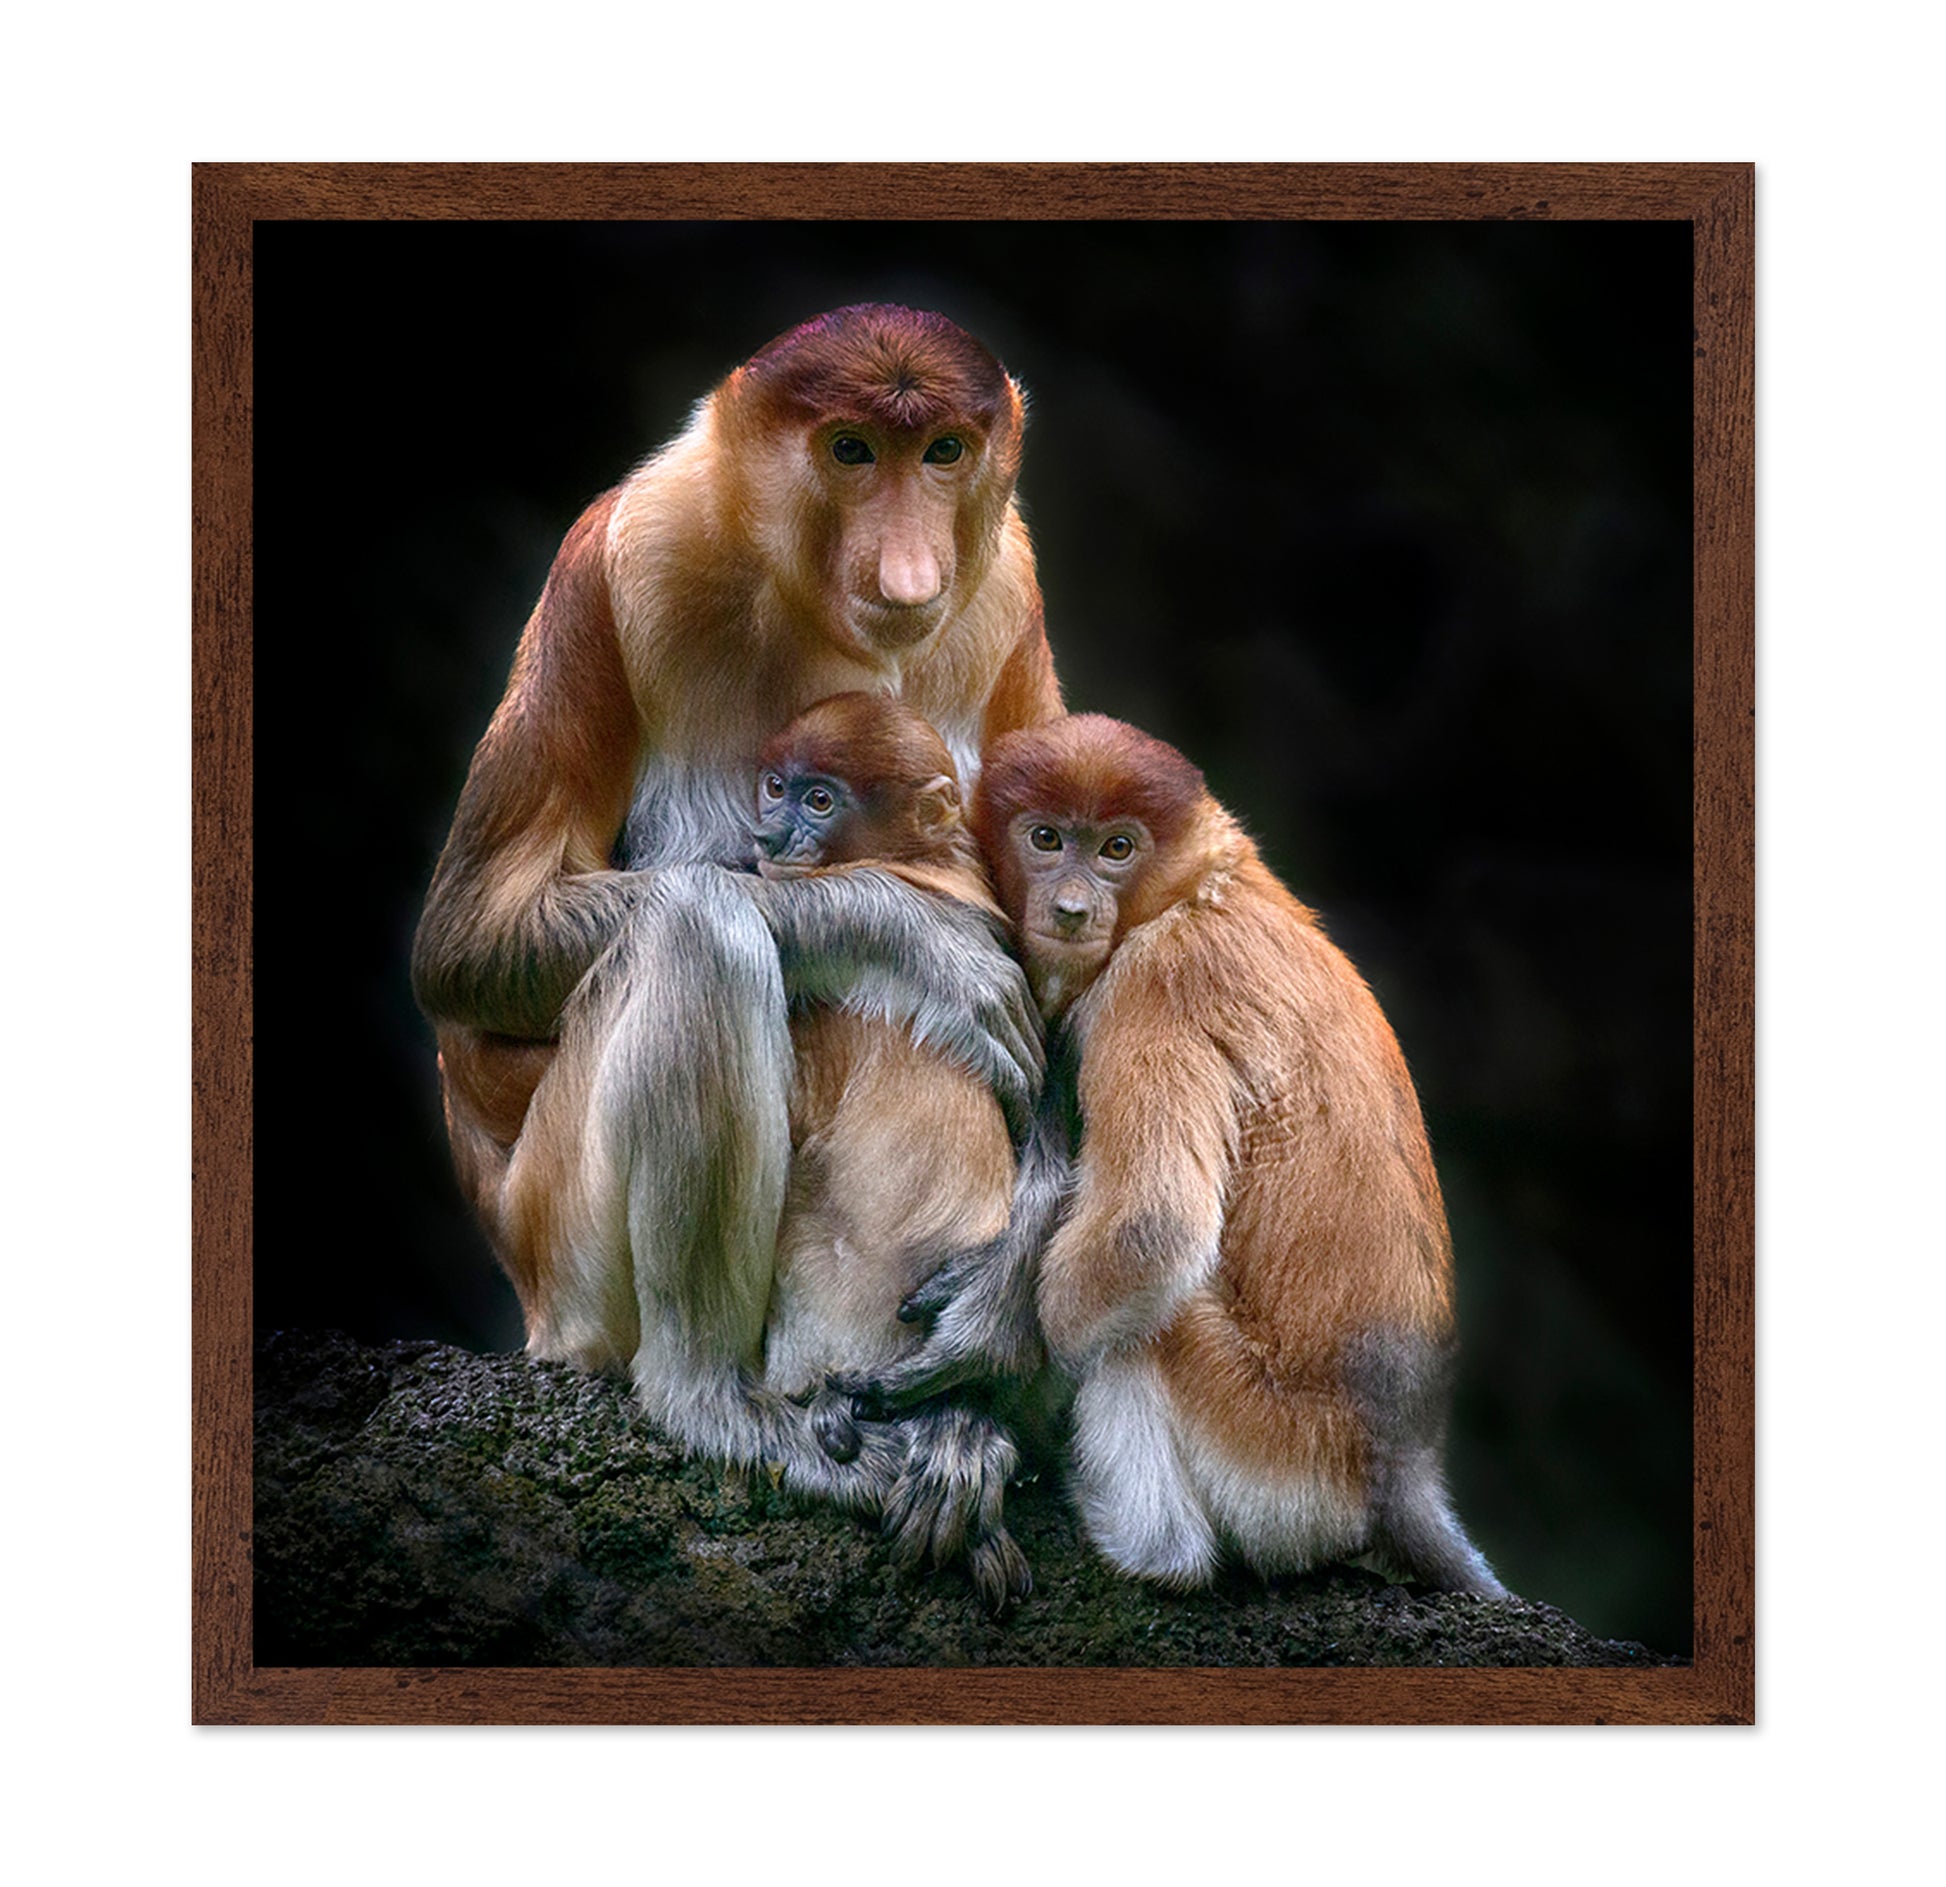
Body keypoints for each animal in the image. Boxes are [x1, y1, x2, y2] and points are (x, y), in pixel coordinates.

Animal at [948, 713, 1506, 1596]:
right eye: (1045, 838)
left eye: (1116, 847)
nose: (1071, 909)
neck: (1196, 889)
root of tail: (1400, 1464)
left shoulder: (1157, 982)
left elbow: (1151, 1230)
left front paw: (994, 1381)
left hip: (1274, 1456)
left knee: (1148, 1325)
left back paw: (1150, 1550)